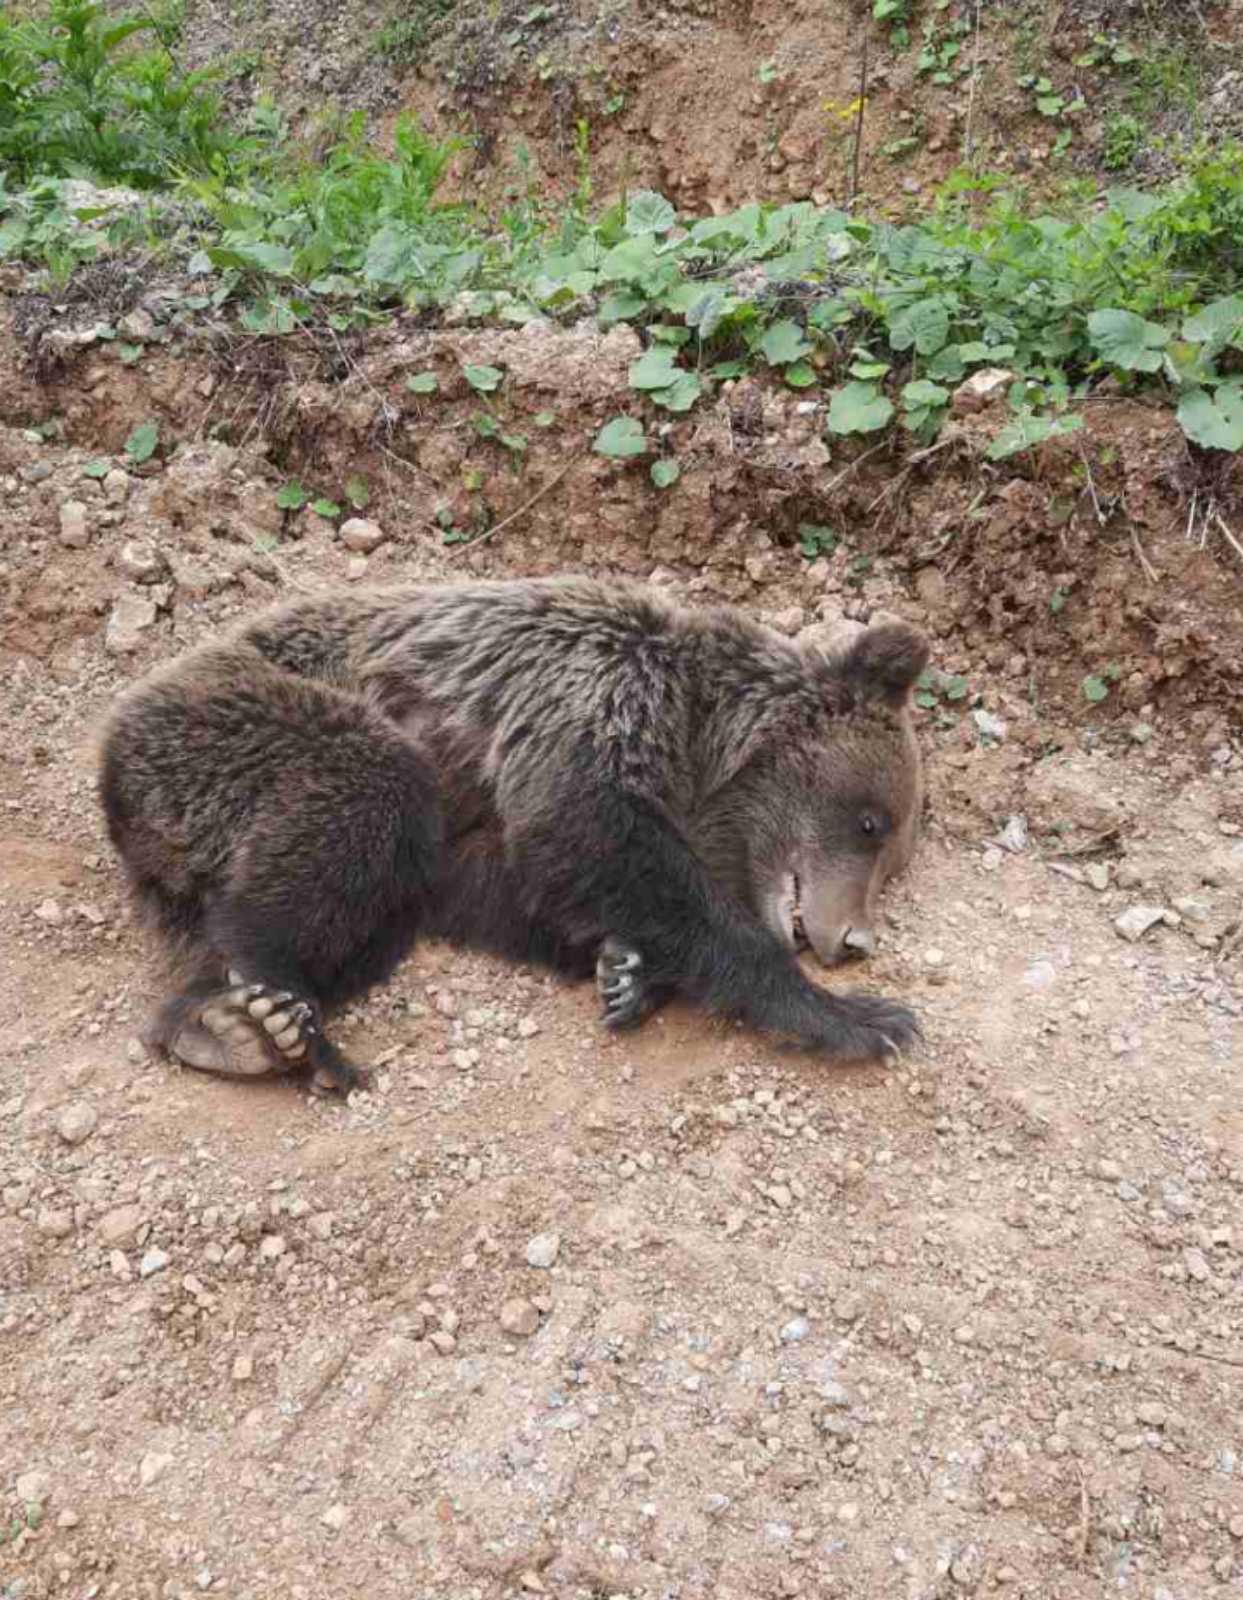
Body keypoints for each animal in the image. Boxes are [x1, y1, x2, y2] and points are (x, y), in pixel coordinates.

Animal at [96, 572, 927, 1088]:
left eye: (892, 856)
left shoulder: (479, 828)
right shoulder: (586, 699)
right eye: (870, 822)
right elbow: (592, 842)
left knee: (367, 916)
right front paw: (861, 1018)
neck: (693, 730)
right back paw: (273, 1019)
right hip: (234, 724)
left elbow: (514, 891)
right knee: (360, 795)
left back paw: (229, 1025)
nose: (853, 941)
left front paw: (627, 973)